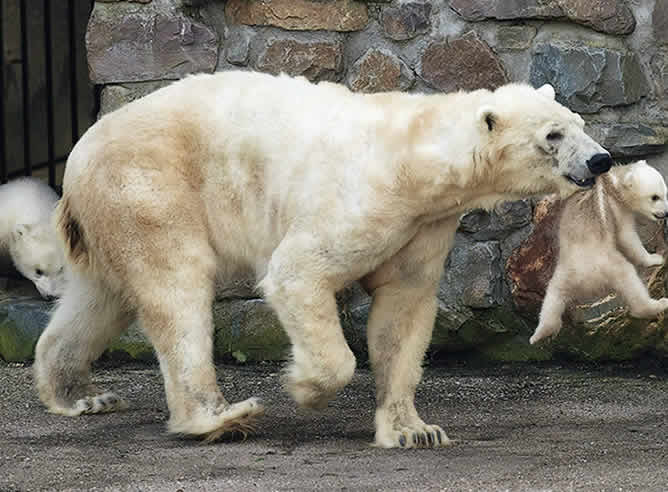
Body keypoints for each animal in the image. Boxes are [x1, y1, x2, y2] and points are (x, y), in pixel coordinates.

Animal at [35, 71, 612, 448]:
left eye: (579, 121)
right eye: (553, 134)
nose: (601, 160)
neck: (417, 158)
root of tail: (78, 158)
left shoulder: (424, 225)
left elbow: (403, 311)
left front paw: (414, 430)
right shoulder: (367, 201)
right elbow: (298, 273)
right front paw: (305, 388)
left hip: (112, 215)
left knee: (101, 298)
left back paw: (80, 394)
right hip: (149, 187)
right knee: (177, 288)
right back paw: (219, 418)